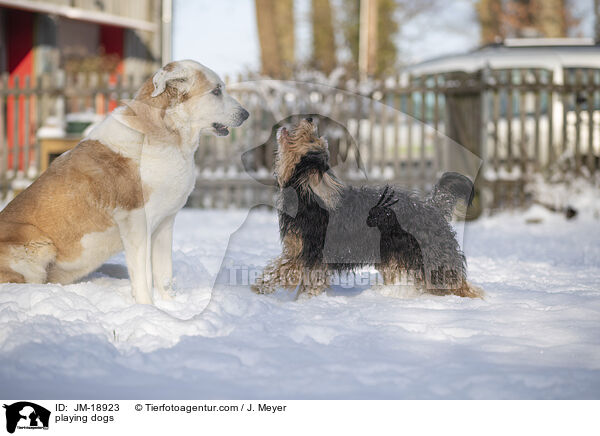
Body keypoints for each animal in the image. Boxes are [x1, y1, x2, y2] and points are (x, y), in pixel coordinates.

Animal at [0, 58, 248, 304]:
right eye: (216, 91)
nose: (246, 114)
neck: (167, 134)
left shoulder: (165, 223)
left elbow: (164, 274)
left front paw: (170, 305)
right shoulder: (137, 222)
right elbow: (144, 276)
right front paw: (148, 308)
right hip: (37, 245)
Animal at [252, 117, 482, 298]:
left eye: (311, 139)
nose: (310, 119)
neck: (307, 194)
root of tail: (432, 207)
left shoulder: (306, 255)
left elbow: (279, 270)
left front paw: (258, 287)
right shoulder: (302, 254)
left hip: (434, 261)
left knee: (461, 286)